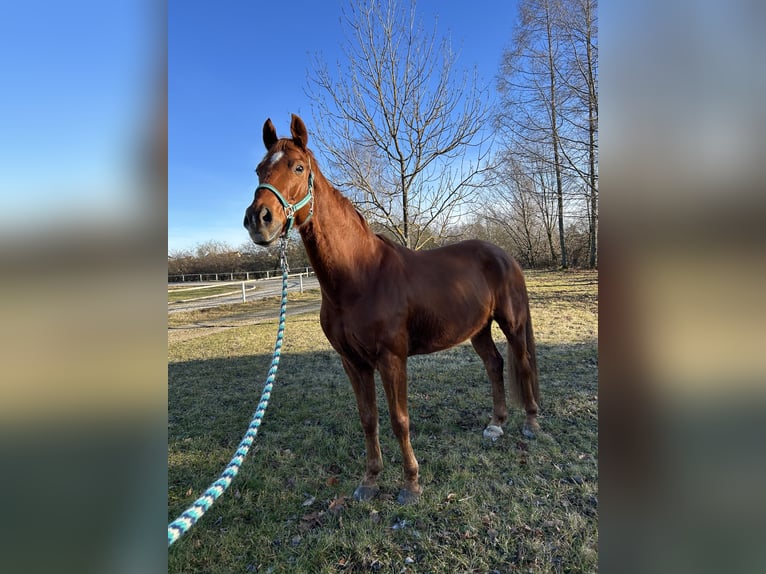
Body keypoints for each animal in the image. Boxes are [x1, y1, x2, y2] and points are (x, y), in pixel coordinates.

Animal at [244, 116, 540, 504]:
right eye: (259, 169)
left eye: (298, 167)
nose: (259, 219)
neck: (360, 275)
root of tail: (504, 256)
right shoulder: (352, 362)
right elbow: (368, 418)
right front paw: (370, 480)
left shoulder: (391, 358)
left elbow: (400, 419)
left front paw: (411, 484)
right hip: (478, 329)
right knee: (495, 364)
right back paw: (495, 425)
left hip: (512, 323)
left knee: (522, 363)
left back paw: (531, 424)